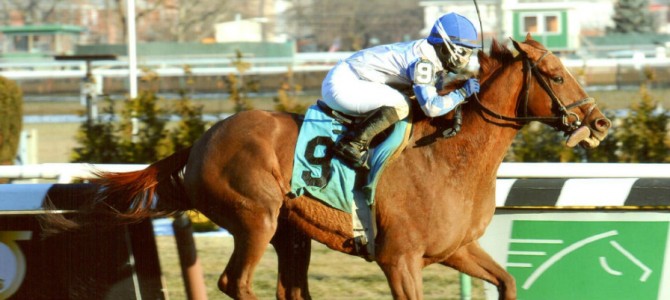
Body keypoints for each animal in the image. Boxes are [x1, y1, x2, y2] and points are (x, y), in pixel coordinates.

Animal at [48, 36, 616, 298]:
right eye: (554, 75)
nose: (600, 121)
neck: (449, 156)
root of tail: (201, 140)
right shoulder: (399, 259)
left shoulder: (455, 249)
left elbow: (507, 281)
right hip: (255, 218)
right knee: (236, 282)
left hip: (290, 232)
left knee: (289, 287)